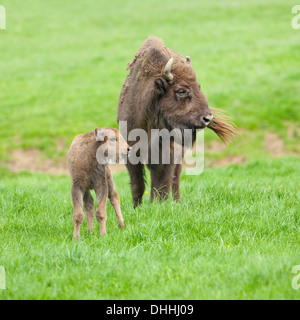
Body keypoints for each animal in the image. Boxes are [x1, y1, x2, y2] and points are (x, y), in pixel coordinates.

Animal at [117, 37, 237, 208]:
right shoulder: (131, 152)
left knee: (175, 180)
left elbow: (162, 182)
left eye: (199, 87)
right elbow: (137, 184)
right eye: (181, 91)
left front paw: (158, 205)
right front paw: (137, 207)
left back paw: (176, 201)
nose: (207, 118)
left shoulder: (168, 153)